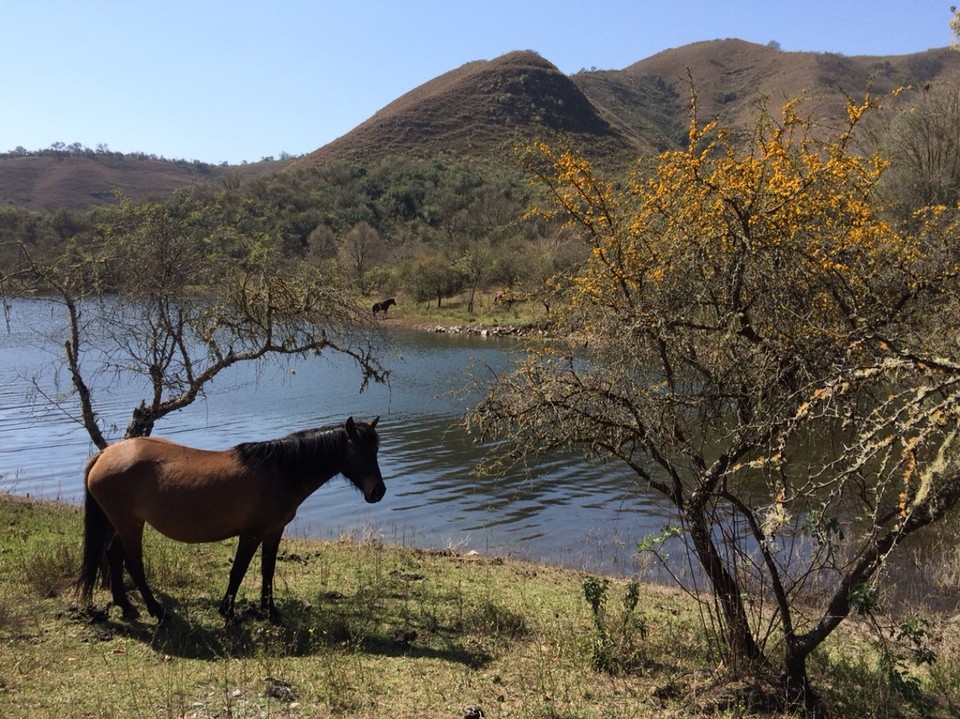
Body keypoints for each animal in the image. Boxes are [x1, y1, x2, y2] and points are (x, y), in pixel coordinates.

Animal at [78, 416, 386, 624]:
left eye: (376, 450)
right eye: (359, 451)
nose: (378, 492)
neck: (278, 471)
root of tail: (104, 455)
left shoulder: (274, 531)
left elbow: (267, 570)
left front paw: (270, 611)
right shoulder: (251, 534)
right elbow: (238, 571)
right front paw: (227, 611)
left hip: (122, 523)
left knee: (113, 555)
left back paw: (126, 606)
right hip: (130, 524)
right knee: (133, 563)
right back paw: (156, 610)